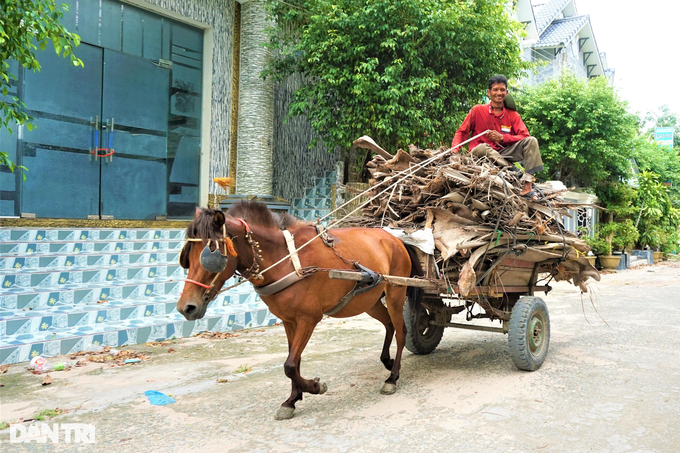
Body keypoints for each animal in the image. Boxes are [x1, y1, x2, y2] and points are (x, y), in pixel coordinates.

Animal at [175, 201, 420, 420]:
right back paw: (387, 361)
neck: (285, 260)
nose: (186, 307)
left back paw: (393, 377)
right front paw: (292, 400)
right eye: (186, 256)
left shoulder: (308, 319)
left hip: (395, 294)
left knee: (401, 331)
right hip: (369, 300)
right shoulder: (289, 321)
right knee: (388, 325)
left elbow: (290, 365)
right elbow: (295, 360)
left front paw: (315, 387)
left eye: (210, 253)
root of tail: (395, 239)